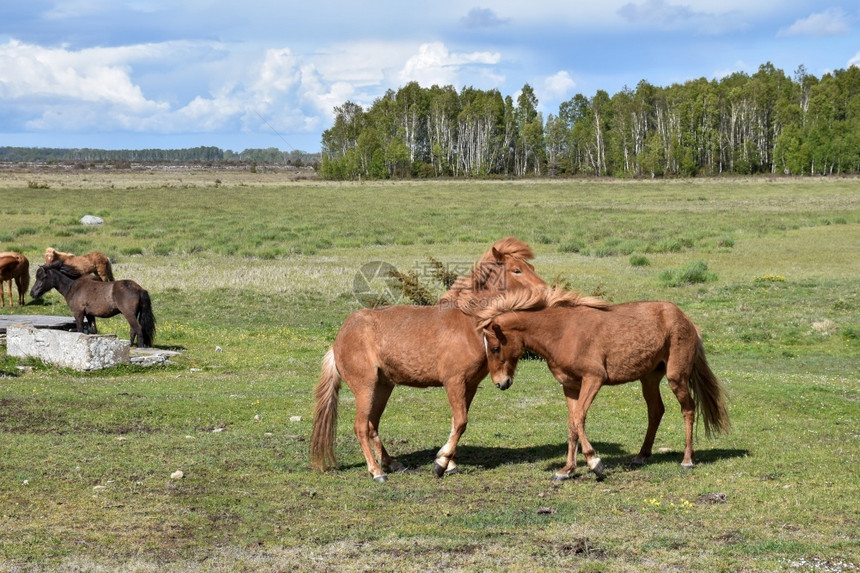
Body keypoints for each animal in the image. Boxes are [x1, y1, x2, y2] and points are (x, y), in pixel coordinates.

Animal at [312, 235, 548, 480]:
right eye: (516, 270)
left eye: (531, 267)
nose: (545, 291)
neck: (468, 323)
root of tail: (338, 340)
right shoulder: (453, 382)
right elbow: (461, 421)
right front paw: (441, 464)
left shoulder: (470, 385)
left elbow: (456, 423)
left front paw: (448, 462)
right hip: (365, 387)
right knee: (360, 427)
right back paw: (377, 472)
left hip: (383, 387)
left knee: (371, 425)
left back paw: (392, 463)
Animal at [474, 286, 728, 478]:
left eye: (495, 347)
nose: (501, 383)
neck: (562, 332)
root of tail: (687, 320)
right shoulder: (570, 386)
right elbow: (572, 424)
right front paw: (567, 469)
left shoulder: (593, 379)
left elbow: (579, 417)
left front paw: (594, 463)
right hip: (649, 379)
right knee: (656, 411)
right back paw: (641, 456)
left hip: (676, 377)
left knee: (688, 409)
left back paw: (687, 459)